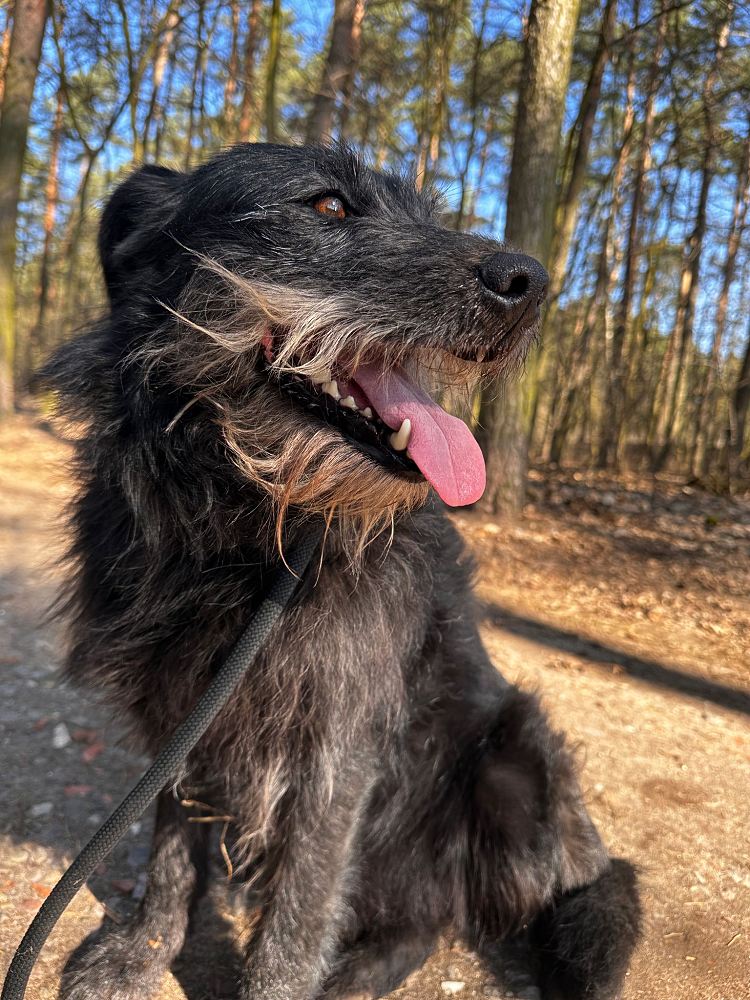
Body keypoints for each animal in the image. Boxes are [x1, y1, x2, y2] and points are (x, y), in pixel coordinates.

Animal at [46, 143, 641, 1000]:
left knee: (448, 913)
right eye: (328, 206)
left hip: (514, 763)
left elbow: (297, 915)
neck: (251, 532)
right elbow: (170, 855)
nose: (530, 281)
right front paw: (142, 951)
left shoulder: (338, 741)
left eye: (426, 215)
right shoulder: (186, 710)